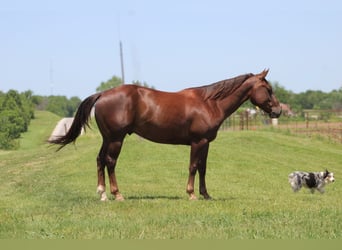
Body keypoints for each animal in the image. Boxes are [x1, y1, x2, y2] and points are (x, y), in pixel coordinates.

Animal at [49, 70, 282, 201]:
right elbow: (193, 167)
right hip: (116, 139)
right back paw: (117, 194)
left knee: (99, 160)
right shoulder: (198, 142)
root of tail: (103, 94)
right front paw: (191, 194)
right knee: (110, 162)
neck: (209, 103)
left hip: (108, 139)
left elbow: (203, 168)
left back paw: (103, 194)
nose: (278, 111)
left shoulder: (206, 143)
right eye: (268, 89)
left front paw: (206, 194)